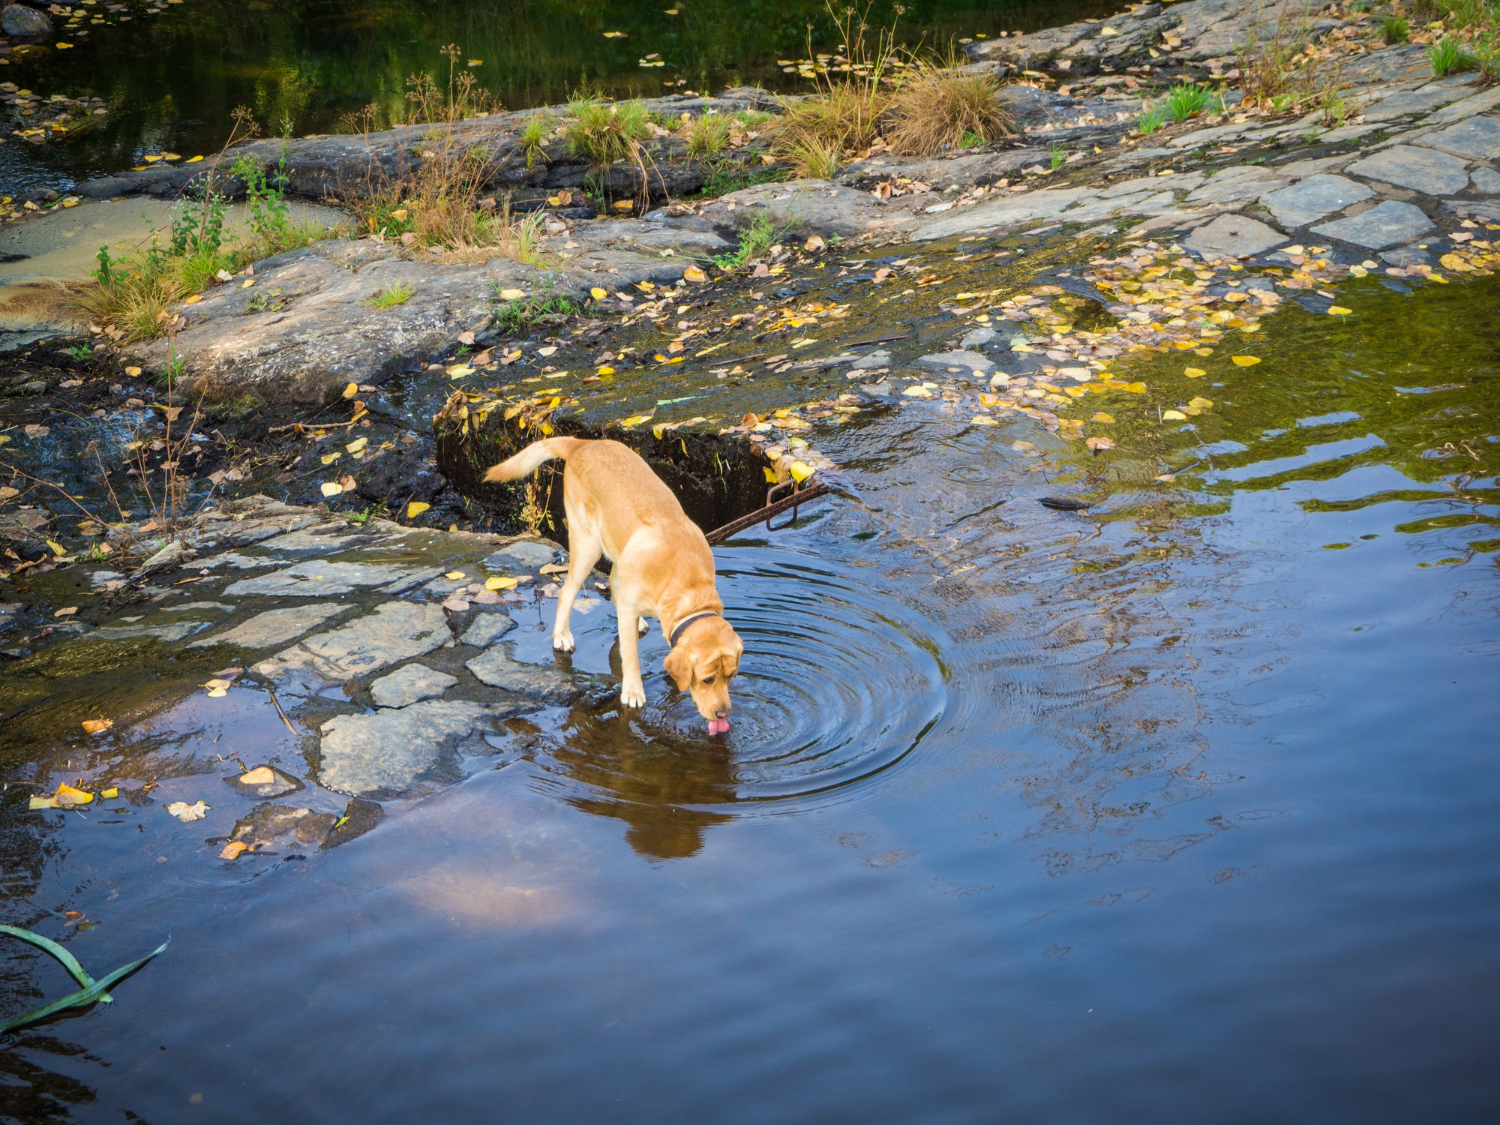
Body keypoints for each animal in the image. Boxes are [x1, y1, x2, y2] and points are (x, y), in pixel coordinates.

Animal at [486, 435, 744, 735]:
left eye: (732, 676)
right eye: (707, 680)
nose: (723, 714)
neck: (687, 583)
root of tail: (581, 443)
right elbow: (630, 656)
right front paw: (633, 691)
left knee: (611, 582)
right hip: (588, 545)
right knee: (567, 592)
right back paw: (562, 635)